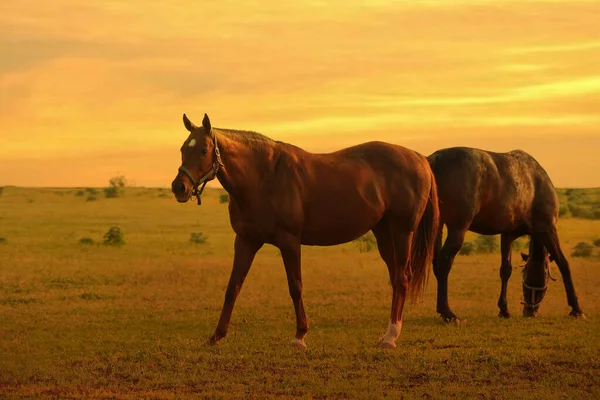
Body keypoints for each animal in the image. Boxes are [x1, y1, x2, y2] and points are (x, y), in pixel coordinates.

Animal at [171, 114, 438, 348]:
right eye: (183, 149)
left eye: (203, 150)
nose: (179, 187)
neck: (264, 177)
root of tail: (420, 158)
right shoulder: (246, 241)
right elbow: (233, 287)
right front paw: (216, 336)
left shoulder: (289, 241)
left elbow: (295, 286)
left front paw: (300, 336)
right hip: (383, 233)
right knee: (396, 278)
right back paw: (386, 335)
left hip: (402, 232)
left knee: (402, 278)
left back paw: (391, 337)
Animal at [428, 147, 584, 322]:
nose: (530, 311)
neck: (536, 182)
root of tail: (435, 160)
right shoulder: (547, 230)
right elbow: (563, 264)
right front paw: (576, 308)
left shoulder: (507, 235)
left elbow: (505, 270)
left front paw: (504, 309)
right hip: (457, 229)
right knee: (444, 262)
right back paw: (447, 312)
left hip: (437, 227)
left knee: (436, 263)